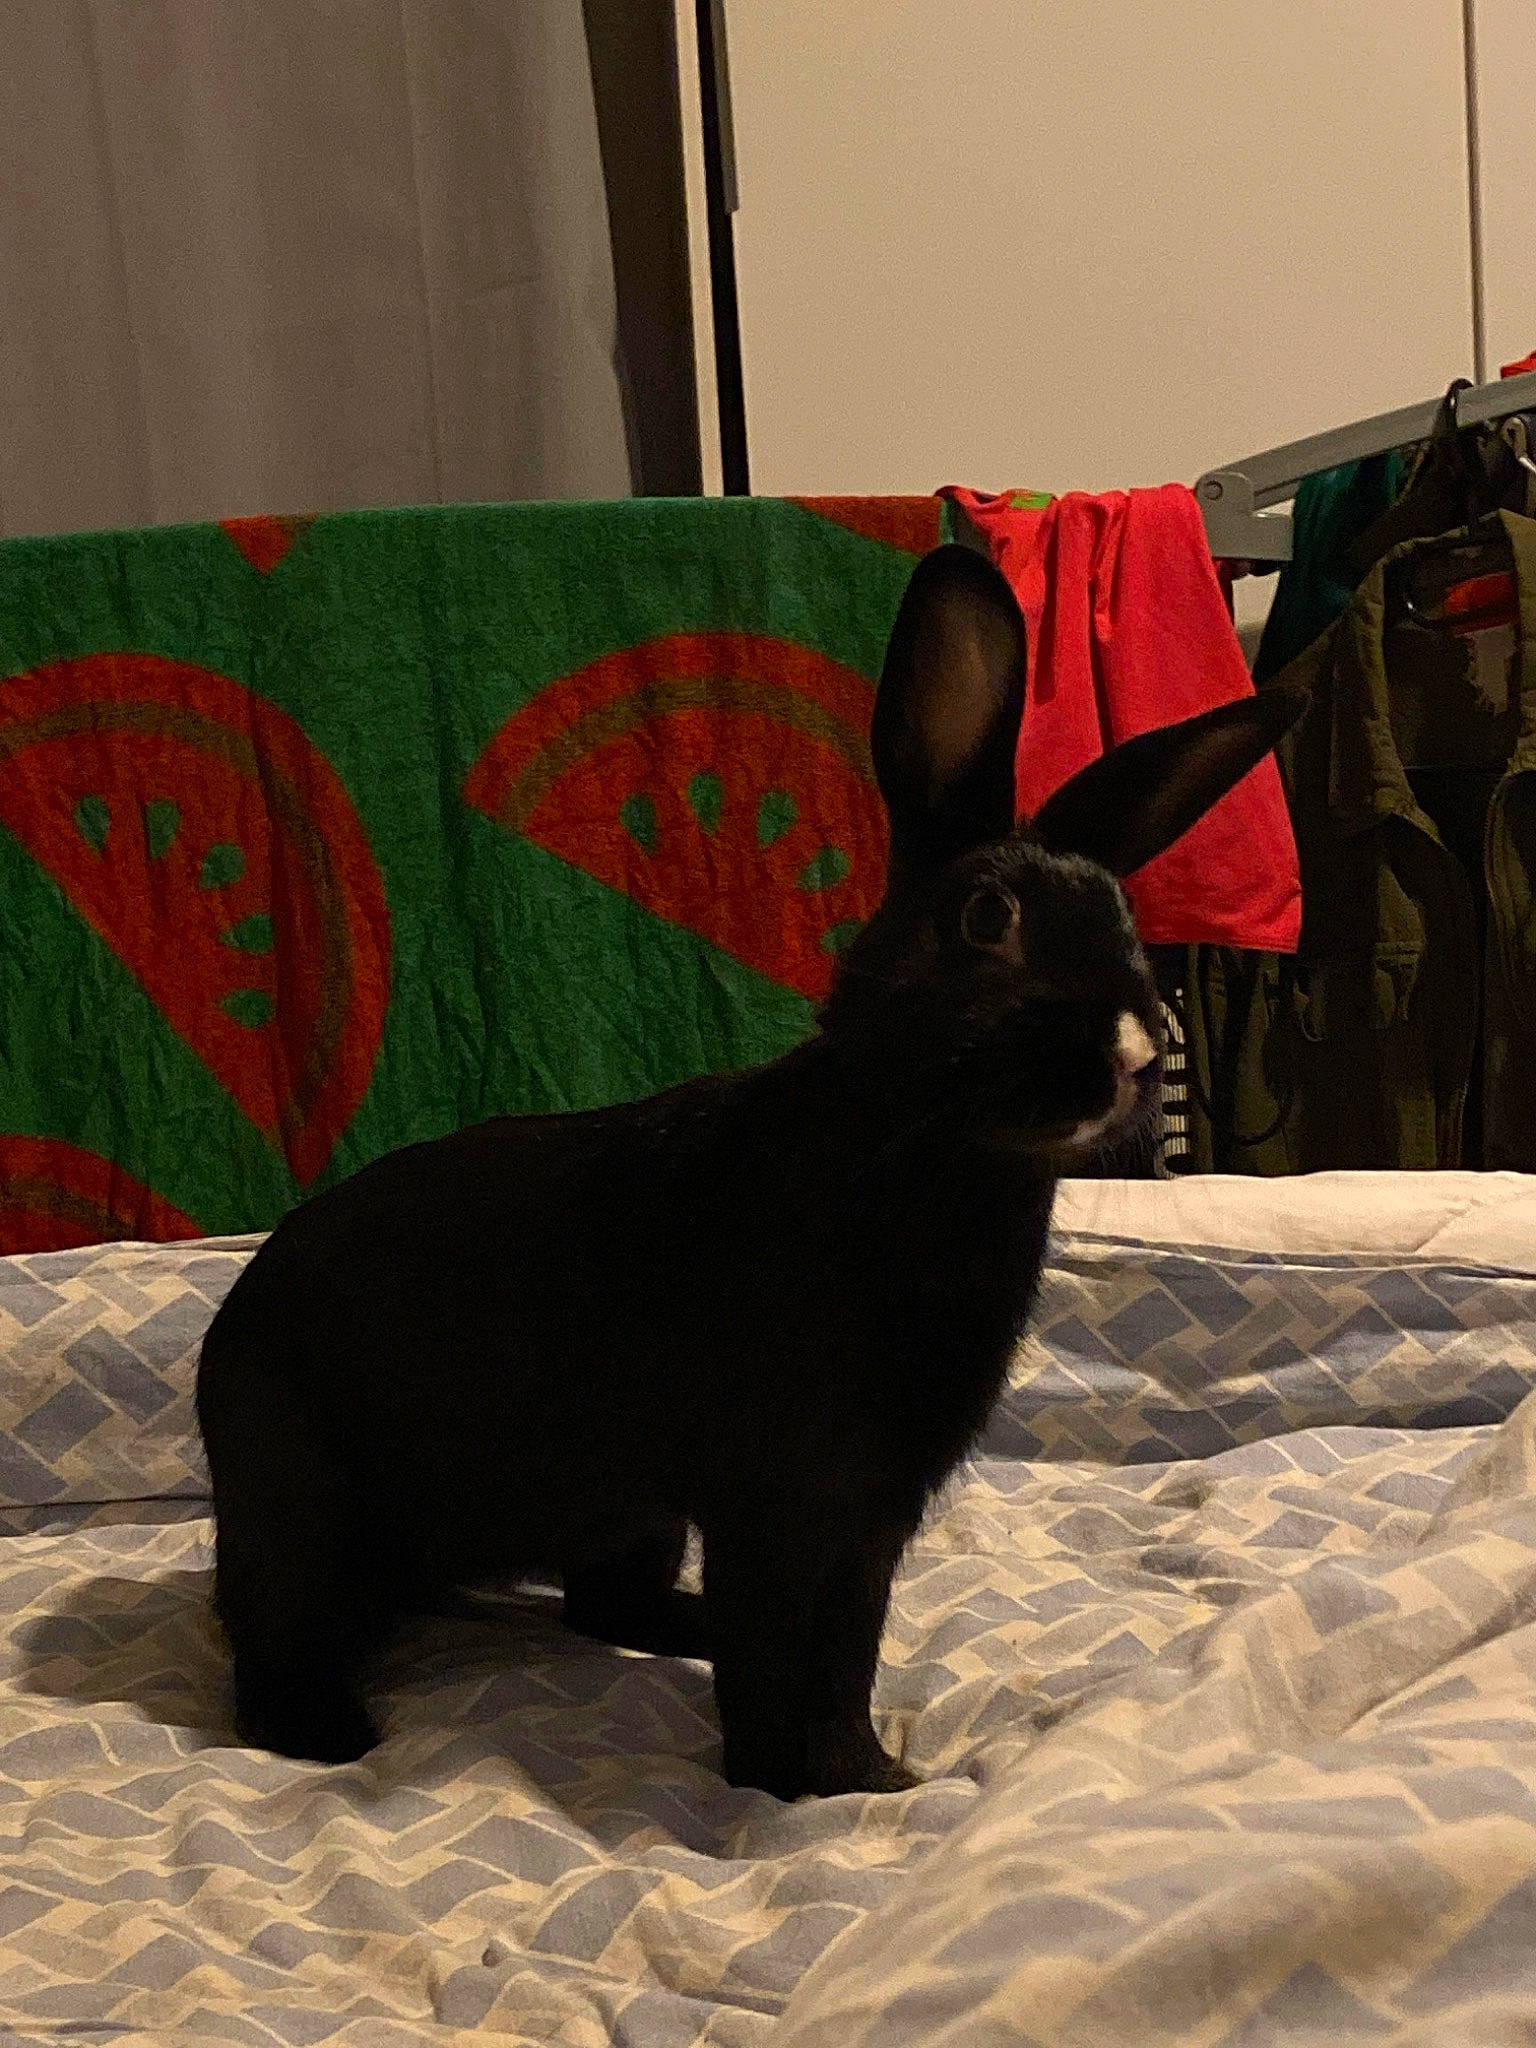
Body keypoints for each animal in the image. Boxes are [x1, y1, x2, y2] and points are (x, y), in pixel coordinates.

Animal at [196, 543, 1305, 1801]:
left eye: (1125, 920)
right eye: (987, 915)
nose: (1132, 1047)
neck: (922, 1157)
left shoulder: (867, 1519)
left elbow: (847, 1651)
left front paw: (873, 1774)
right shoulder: (775, 1500)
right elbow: (776, 1650)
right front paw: (785, 1789)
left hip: (629, 1510)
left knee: (600, 1602)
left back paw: (676, 1629)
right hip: (299, 1502)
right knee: (269, 1652)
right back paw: (335, 1733)